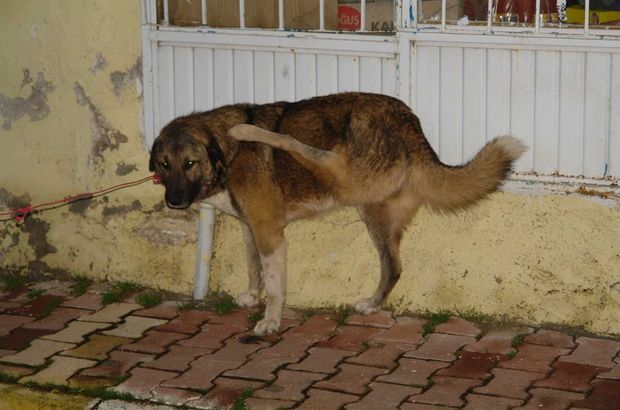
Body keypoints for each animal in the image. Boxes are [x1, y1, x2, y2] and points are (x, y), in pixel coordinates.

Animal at [149, 91, 524, 334]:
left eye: (190, 164)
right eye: (165, 165)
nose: (174, 202)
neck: (226, 155)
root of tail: (411, 126)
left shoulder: (268, 231)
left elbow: (274, 284)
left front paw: (270, 320)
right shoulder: (249, 227)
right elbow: (253, 267)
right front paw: (252, 296)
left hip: (336, 169)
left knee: (292, 143)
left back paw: (250, 131)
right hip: (373, 214)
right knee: (394, 267)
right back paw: (372, 304)